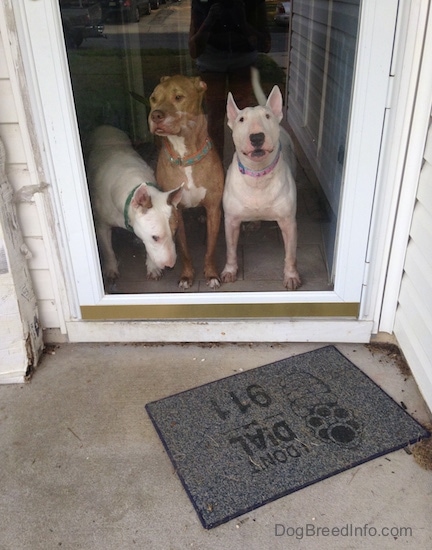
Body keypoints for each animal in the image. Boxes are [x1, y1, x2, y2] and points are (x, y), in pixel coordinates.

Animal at [87, 126, 183, 282]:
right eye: (155, 237)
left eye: (175, 232)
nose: (170, 265)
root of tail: (105, 126)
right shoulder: (101, 225)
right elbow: (107, 249)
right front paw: (111, 269)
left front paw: (152, 268)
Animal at [148, 75, 224, 292]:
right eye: (153, 98)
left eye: (179, 97)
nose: (155, 115)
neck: (185, 156)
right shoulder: (176, 213)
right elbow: (184, 250)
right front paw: (187, 276)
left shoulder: (214, 208)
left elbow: (211, 249)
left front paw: (211, 274)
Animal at [223, 77, 300, 292]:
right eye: (241, 120)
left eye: (267, 116)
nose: (257, 137)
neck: (257, 176)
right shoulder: (231, 221)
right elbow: (230, 249)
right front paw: (230, 271)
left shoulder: (289, 223)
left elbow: (290, 255)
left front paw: (291, 276)